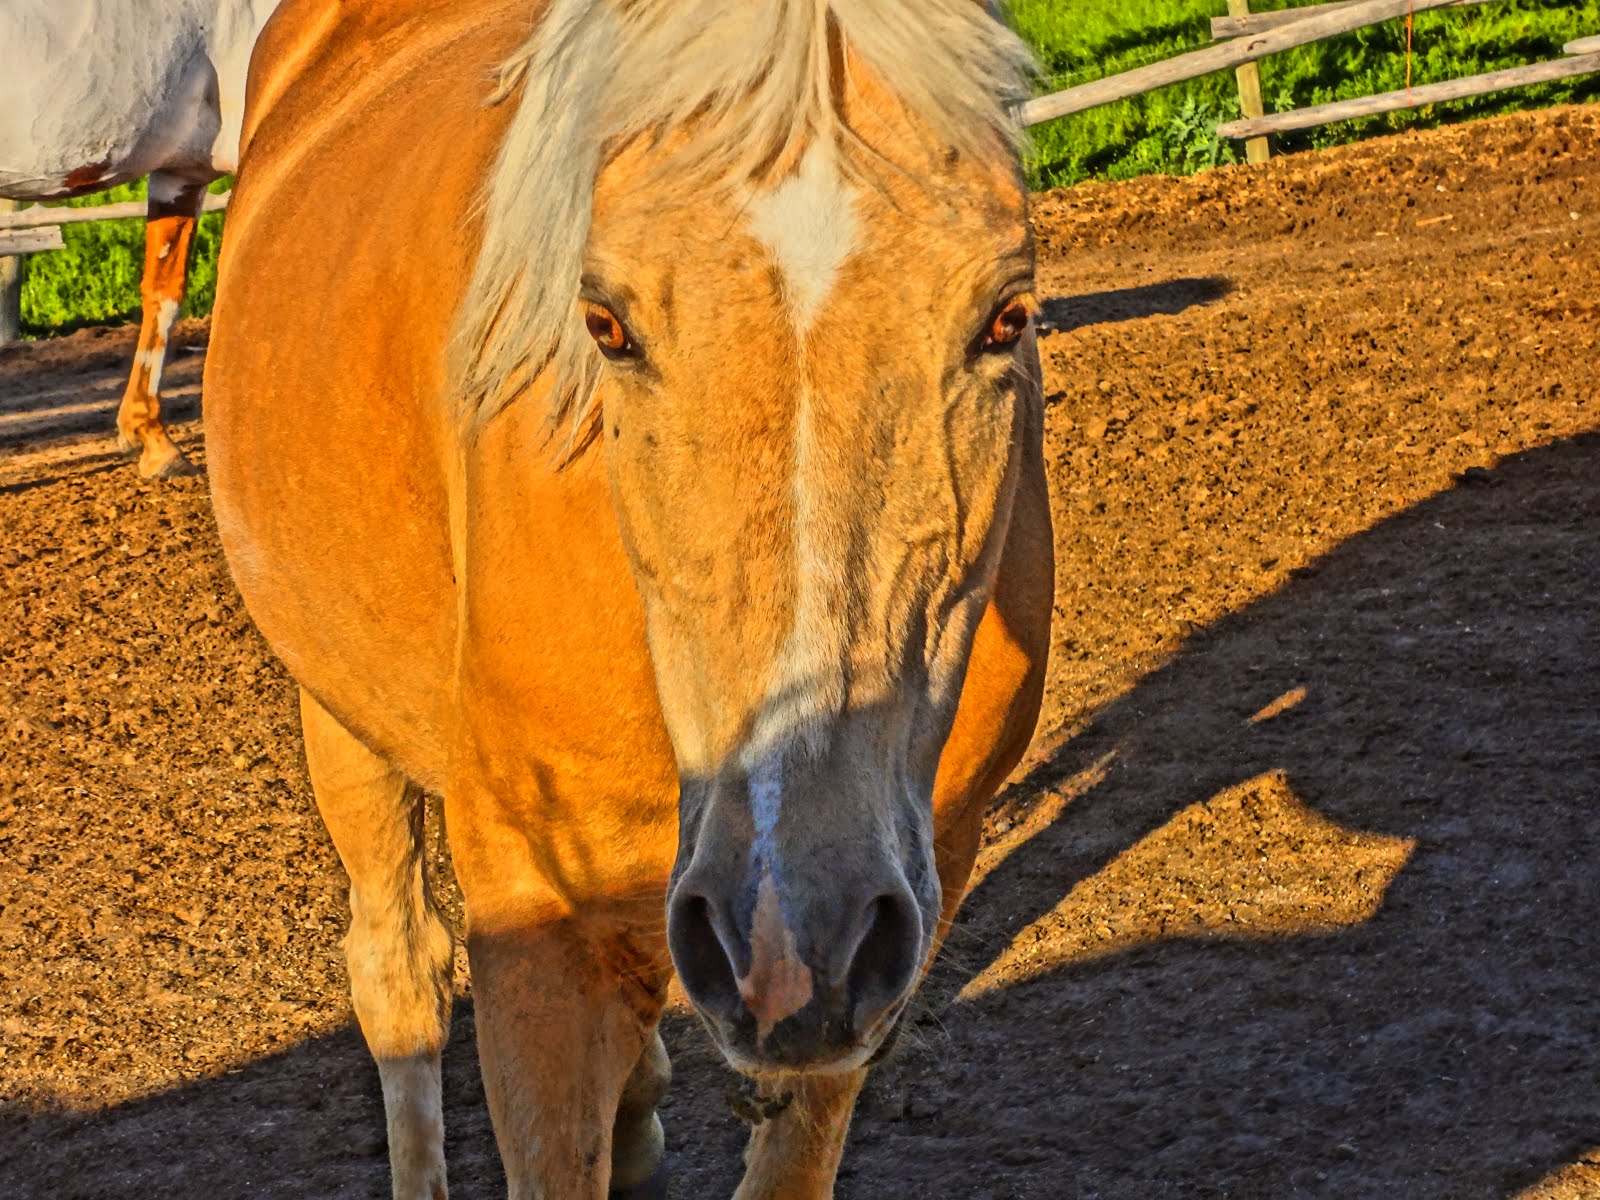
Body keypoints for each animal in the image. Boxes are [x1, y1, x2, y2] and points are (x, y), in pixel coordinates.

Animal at [212, 0, 1056, 1196]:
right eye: (607, 324)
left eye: (1007, 316)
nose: (793, 932)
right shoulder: (538, 924)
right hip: (340, 720)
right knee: (398, 974)